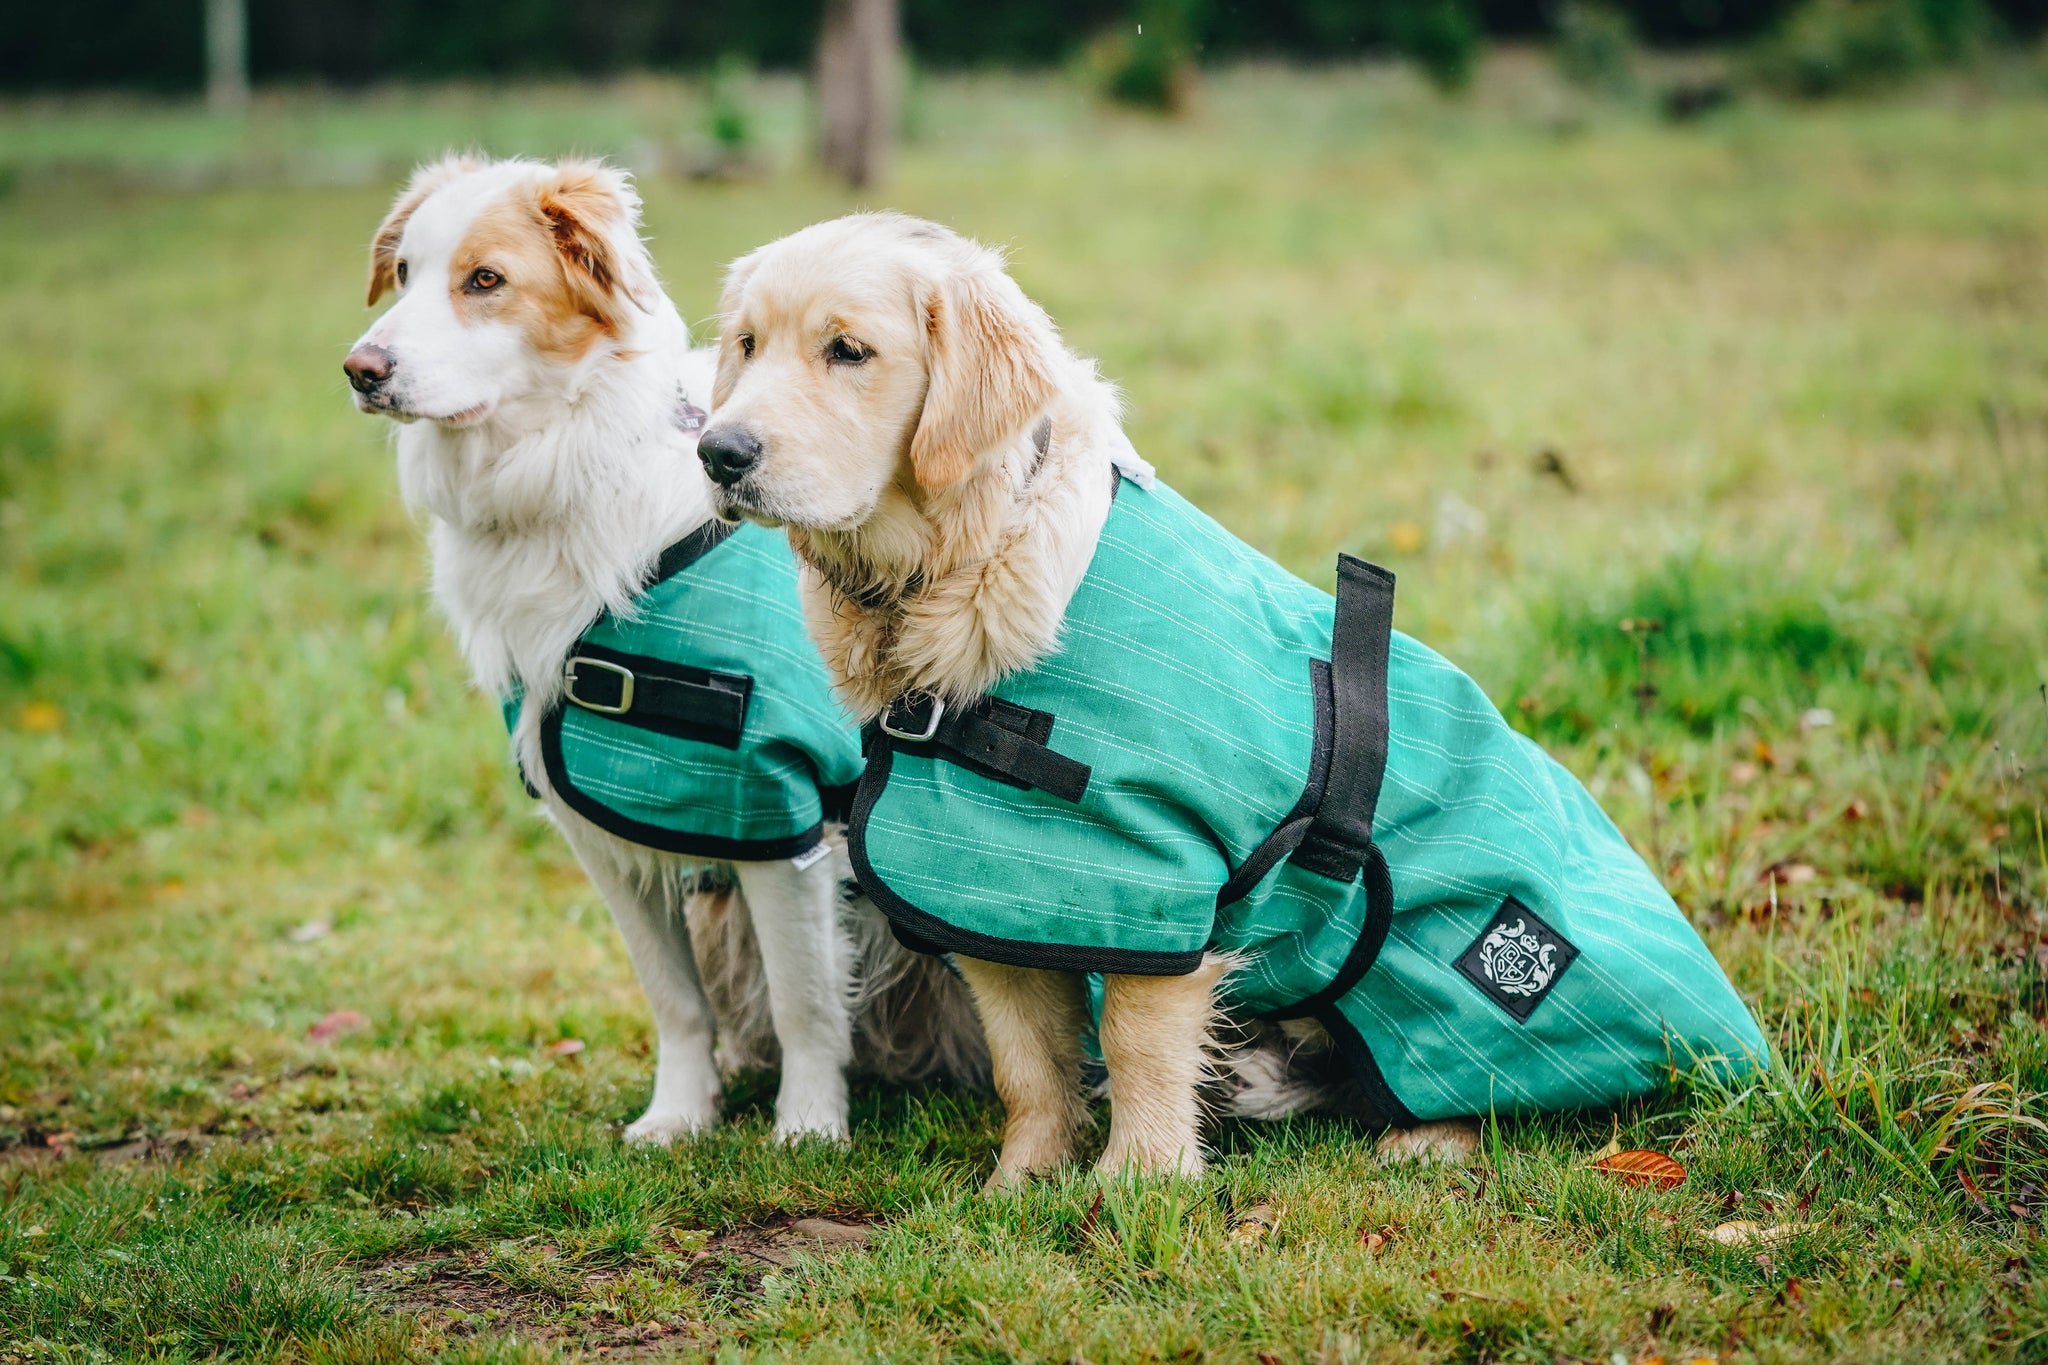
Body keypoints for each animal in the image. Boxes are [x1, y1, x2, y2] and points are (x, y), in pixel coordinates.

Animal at [344, 162, 983, 1146]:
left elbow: (805, 1002)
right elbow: (675, 999)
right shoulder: (601, 830)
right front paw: (680, 1114)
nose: (361, 370)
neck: (568, 466)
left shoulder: (774, 815)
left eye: (485, 280)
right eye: (404, 272)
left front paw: (808, 1127)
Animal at [692, 213, 1474, 1186]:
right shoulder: (993, 882)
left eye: (848, 350)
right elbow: (1026, 1060)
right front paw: (1022, 1179)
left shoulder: (1150, 871)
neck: (964, 555)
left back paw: (1426, 1137)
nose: (718, 453)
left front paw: (1139, 1178)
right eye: (746, 345)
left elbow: (1135, 1041)